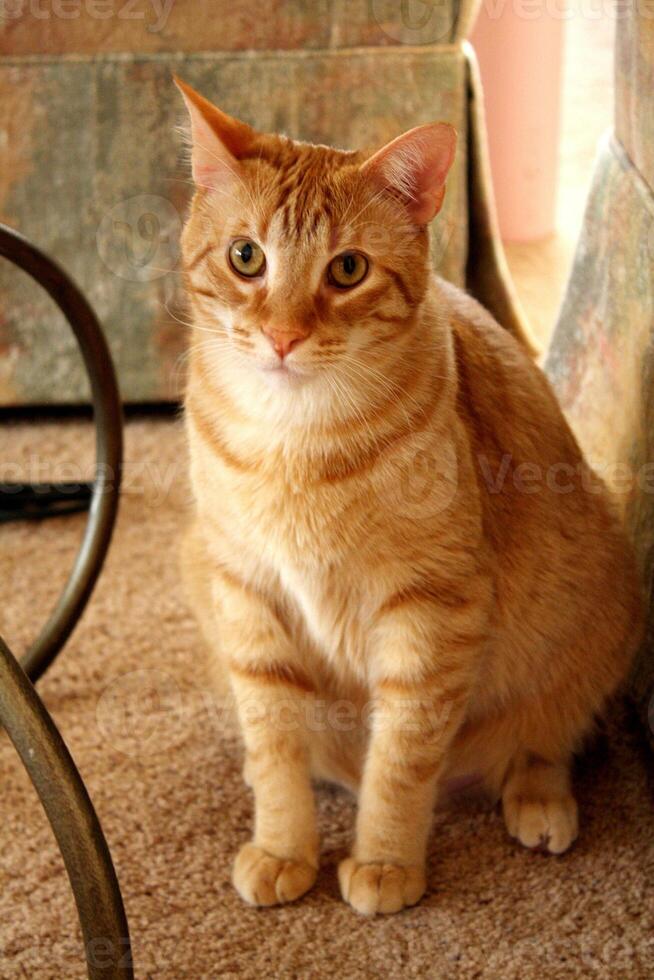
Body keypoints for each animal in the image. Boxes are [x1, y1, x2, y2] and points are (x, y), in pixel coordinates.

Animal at [176, 80, 644, 916]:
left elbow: (400, 759)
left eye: (347, 270)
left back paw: (539, 798)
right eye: (246, 257)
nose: (284, 337)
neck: (293, 443)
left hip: (597, 605)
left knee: (547, 738)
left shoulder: (431, 608)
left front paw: (385, 862)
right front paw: (283, 844)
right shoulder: (246, 590)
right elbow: (274, 737)